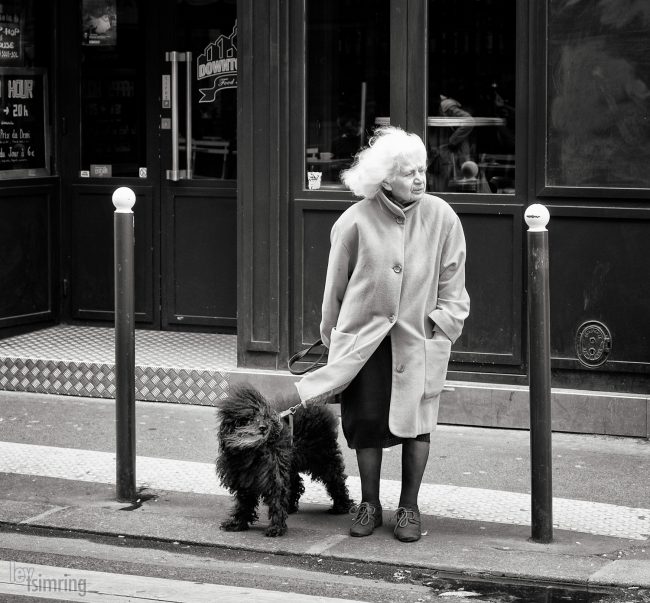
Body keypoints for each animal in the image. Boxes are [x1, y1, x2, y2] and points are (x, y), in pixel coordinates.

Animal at [215, 384, 352, 536]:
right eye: (249, 417)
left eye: (264, 416)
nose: (263, 427)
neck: (253, 451)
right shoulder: (244, 478)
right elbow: (244, 502)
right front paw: (237, 523)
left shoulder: (273, 475)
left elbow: (277, 499)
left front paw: (276, 527)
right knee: (295, 483)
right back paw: (291, 507)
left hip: (323, 458)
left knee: (335, 479)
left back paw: (342, 506)